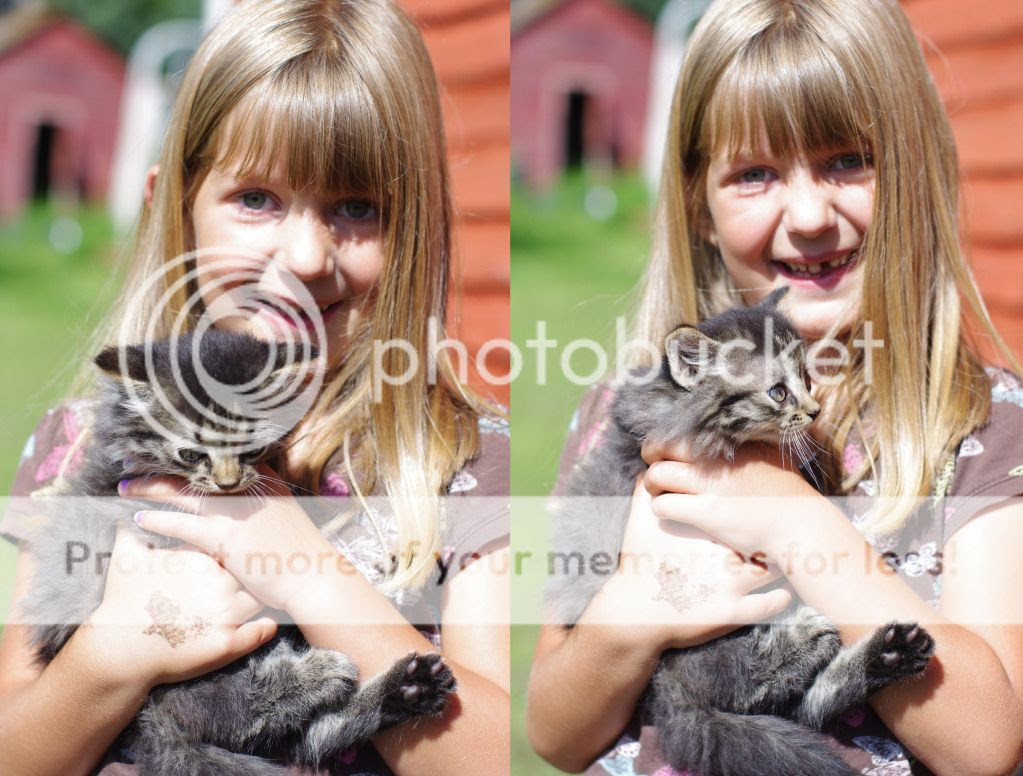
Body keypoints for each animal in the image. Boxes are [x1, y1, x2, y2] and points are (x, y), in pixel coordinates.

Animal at [22, 329, 455, 776]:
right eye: (191, 454)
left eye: (251, 449)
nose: (229, 483)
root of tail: (147, 729)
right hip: (183, 679)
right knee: (237, 712)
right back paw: (320, 676)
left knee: (314, 735)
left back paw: (409, 688)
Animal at [546, 288, 934, 776]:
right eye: (778, 391)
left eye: (808, 379)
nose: (814, 411)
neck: (672, 403)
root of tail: (667, 699)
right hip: (696, 642)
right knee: (736, 683)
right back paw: (809, 643)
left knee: (806, 706)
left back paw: (887, 656)